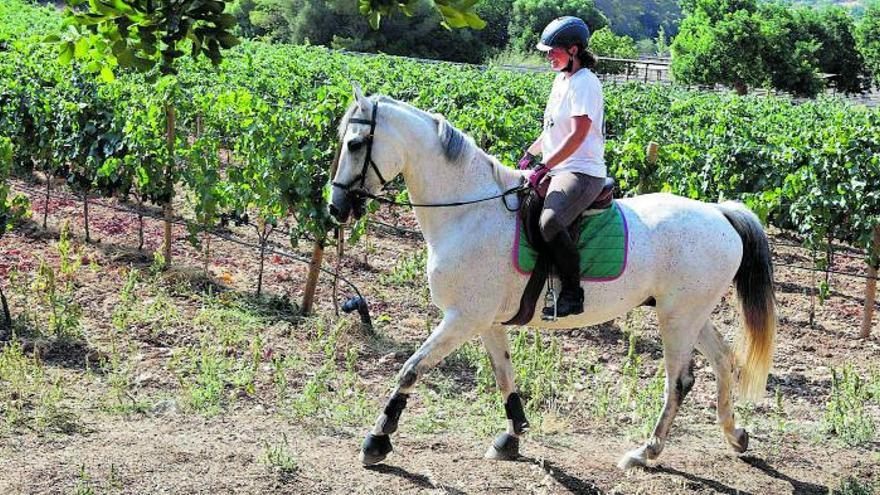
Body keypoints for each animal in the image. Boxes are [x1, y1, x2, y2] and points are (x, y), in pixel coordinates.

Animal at [330, 86, 776, 472]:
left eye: (355, 144)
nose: (335, 207)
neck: (469, 211)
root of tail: (719, 212)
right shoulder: (486, 322)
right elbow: (504, 375)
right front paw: (511, 437)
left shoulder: (462, 318)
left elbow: (411, 369)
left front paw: (377, 441)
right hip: (691, 314)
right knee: (723, 361)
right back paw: (735, 435)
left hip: (678, 318)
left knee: (679, 381)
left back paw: (645, 452)